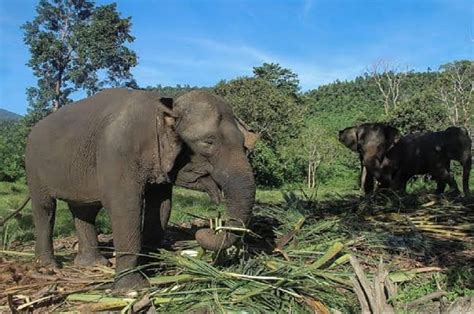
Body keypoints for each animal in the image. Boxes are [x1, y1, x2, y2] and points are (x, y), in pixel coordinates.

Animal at [23, 88, 256, 292]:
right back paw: (48, 266)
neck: (164, 106)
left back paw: (92, 264)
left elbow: (161, 207)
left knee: (84, 210)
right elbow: (126, 208)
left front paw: (152, 266)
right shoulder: (117, 151)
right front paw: (132, 289)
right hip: (33, 167)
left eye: (244, 144)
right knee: (45, 209)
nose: (207, 228)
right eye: (208, 142)